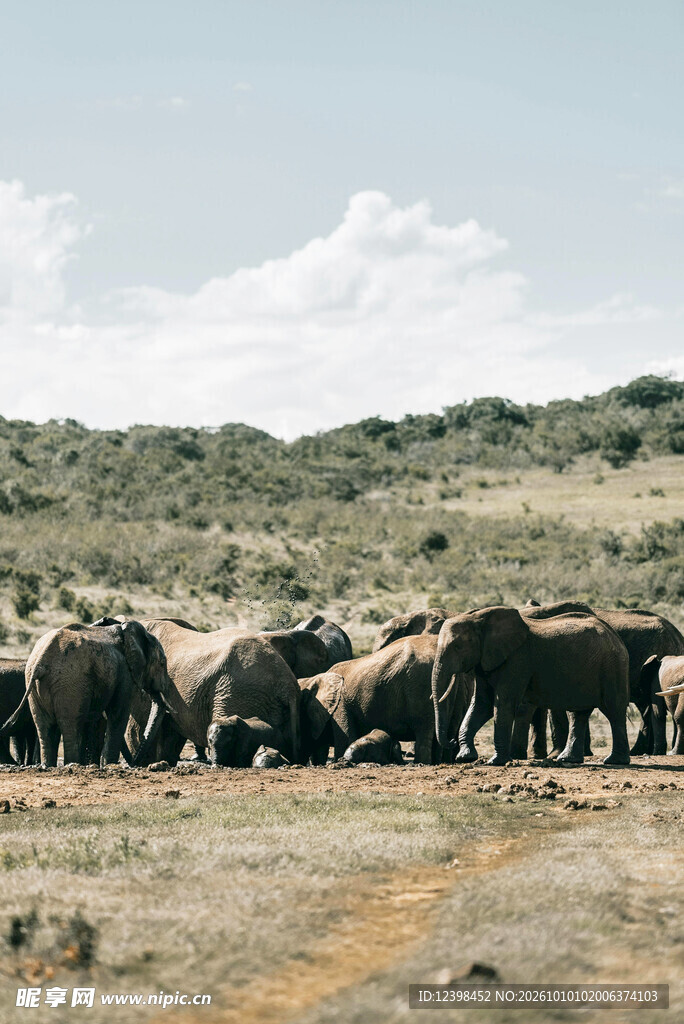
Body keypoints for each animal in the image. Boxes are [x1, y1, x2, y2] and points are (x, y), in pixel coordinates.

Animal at [0, 620, 173, 767]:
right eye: (162, 663)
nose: (136, 764)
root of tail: (40, 662)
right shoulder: (124, 672)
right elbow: (118, 714)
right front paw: (109, 765)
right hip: (70, 681)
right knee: (70, 724)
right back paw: (72, 764)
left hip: (37, 682)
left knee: (45, 725)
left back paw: (48, 766)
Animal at [299, 634, 473, 765]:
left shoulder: (341, 706)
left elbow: (345, 737)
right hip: (457, 685)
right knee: (448, 727)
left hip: (420, 685)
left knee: (424, 728)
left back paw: (422, 763)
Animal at [432, 606, 631, 766]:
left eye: (457, 646)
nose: (450, 741)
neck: (478, 618)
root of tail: (615, 636)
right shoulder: (486, 661)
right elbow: (482, 704)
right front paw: (466, 758)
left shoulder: (517, 659)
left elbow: (502, 704)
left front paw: (496, 762)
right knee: (578, 713)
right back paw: (568, 759)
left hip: (612, 668)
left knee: (614, 710)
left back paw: (615, 761)